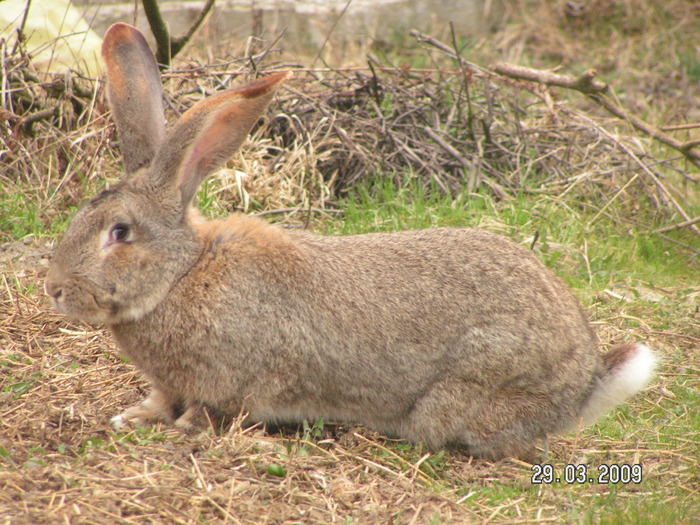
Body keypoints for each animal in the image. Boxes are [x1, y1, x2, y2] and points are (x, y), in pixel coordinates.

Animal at [43, 23, 656, 458]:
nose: (54, 289)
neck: (183, 274)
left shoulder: (232, 380)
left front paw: (180, 431)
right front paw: (135, 418)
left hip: (469, 390)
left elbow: (211, 412)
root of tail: (583, 382)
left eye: (119, 233)